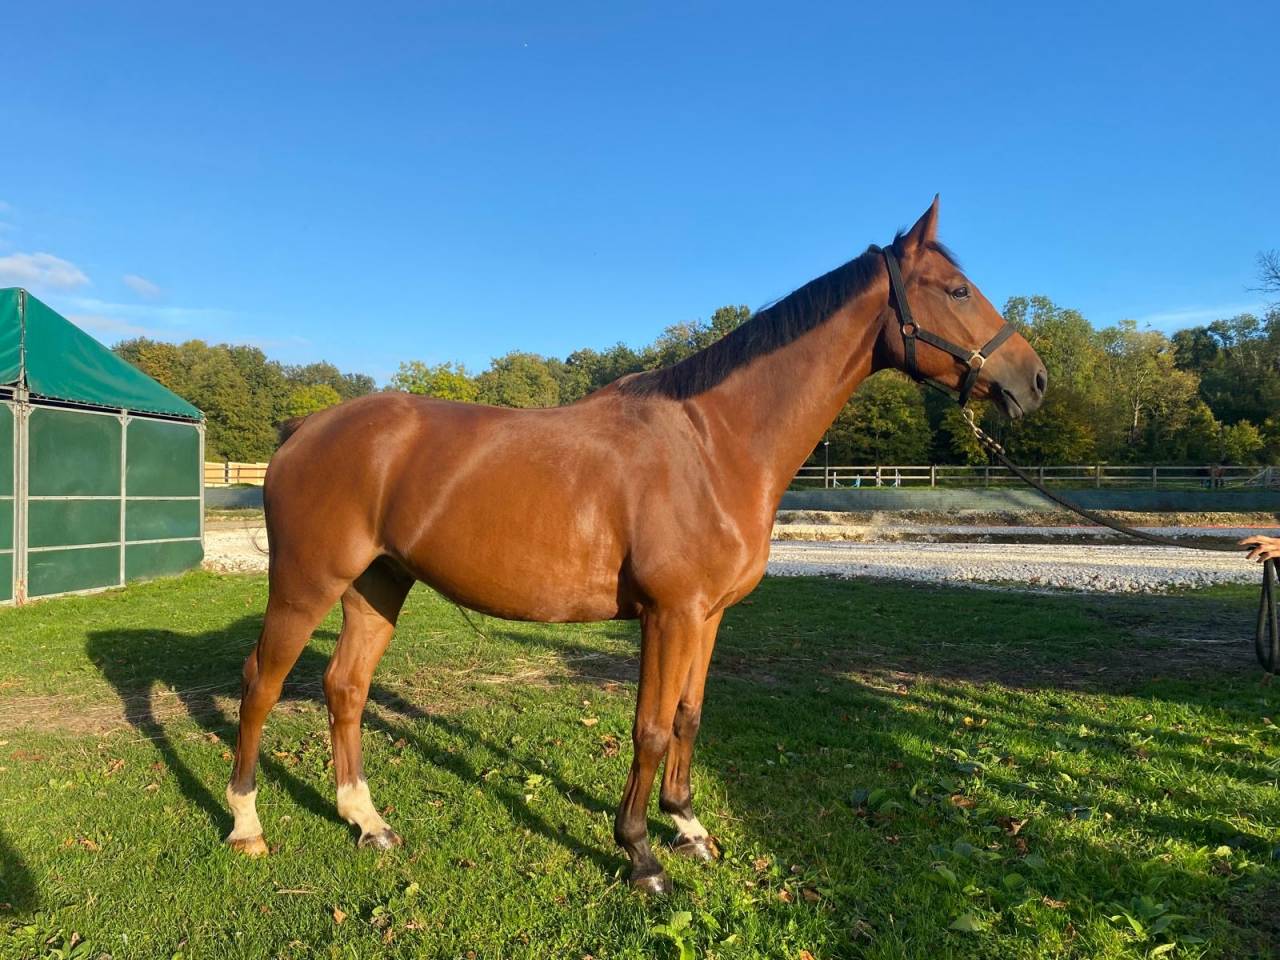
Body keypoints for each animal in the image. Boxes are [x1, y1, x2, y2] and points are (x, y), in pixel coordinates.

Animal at [225, 197, 1047, 894]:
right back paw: (246, 825)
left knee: (346, 688)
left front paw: (690, 827)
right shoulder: (669, 614)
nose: (1034, 380)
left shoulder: (708, 616)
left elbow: (688, 717)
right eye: (958, 290)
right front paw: (642, 854)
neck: (716, 442)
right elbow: (648, 729)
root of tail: (304, 429)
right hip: (305, 585)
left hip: (379, 584)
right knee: (262, 682)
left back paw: (367, 822)